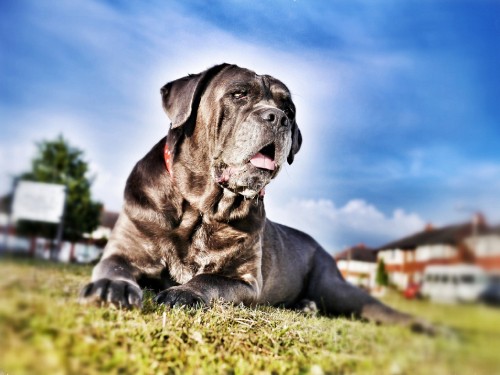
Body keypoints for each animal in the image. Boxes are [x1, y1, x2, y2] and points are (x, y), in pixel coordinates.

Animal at [80, 63, 432, 334]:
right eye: (238, 94)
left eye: (289, 109)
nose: (278, 118)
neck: (201, 209)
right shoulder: (125, 248)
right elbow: (114, 266)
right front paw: (112, 286)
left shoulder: (245, 280)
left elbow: (208, 279)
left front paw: (183, 293)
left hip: (335, 286)